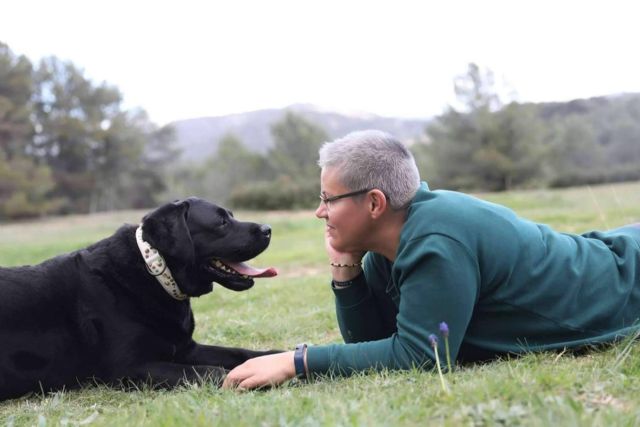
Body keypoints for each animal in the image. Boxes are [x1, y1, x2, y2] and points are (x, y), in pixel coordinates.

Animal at [0, 199, 280, 402]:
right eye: (221, 222)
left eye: (231, 215)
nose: (268, 229)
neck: (154, 272)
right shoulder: (129, 368)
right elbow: (209, 371)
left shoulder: (185, 348)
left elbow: (239, 353)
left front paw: (275, 357)